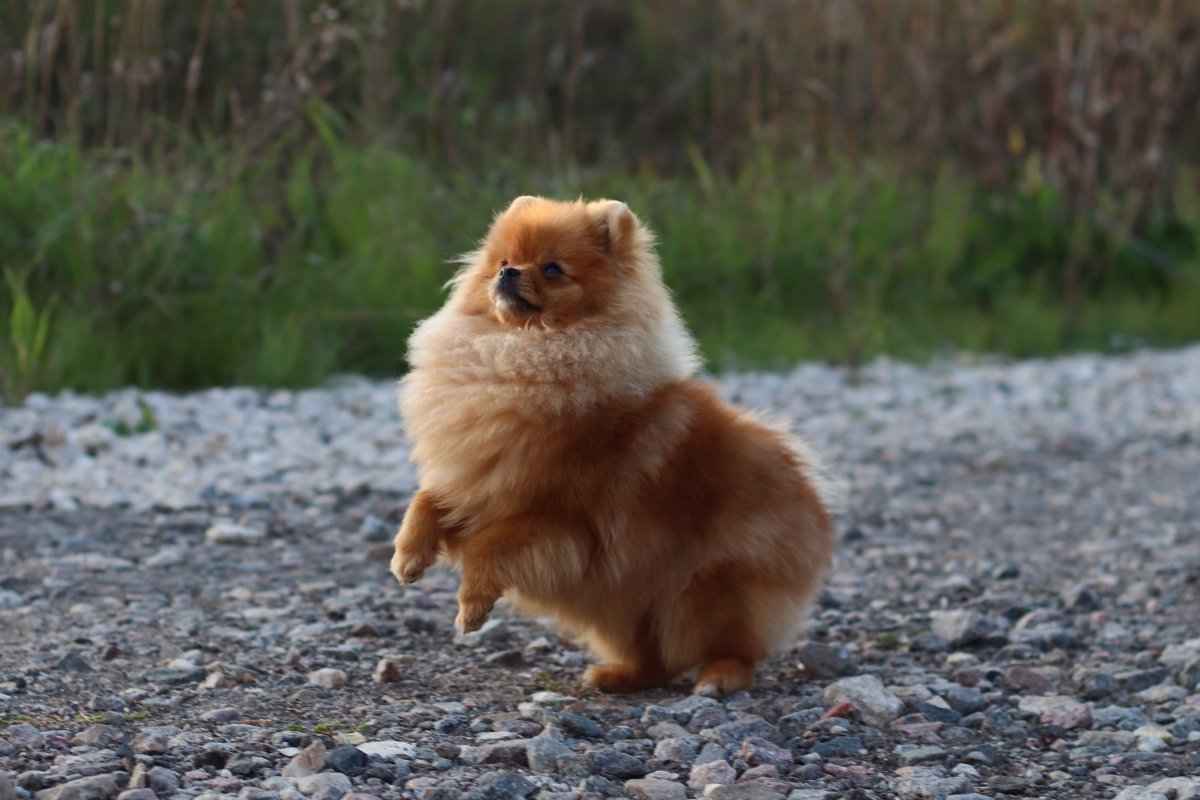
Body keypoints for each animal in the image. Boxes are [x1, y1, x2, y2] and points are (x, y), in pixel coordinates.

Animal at [391, 195, 835, 695]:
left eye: (552, 269)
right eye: (503, 262)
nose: (508, 273)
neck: (518, 351)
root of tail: (811, 497)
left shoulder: (556, 514)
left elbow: (489, 547)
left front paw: (471, 607)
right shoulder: (474, 480)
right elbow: (426, 500)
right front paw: (407, 558)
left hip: (708, 589)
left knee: (733, 646)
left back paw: (718, 677)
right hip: (623, 603)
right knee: (654, 658)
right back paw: (617, 676)